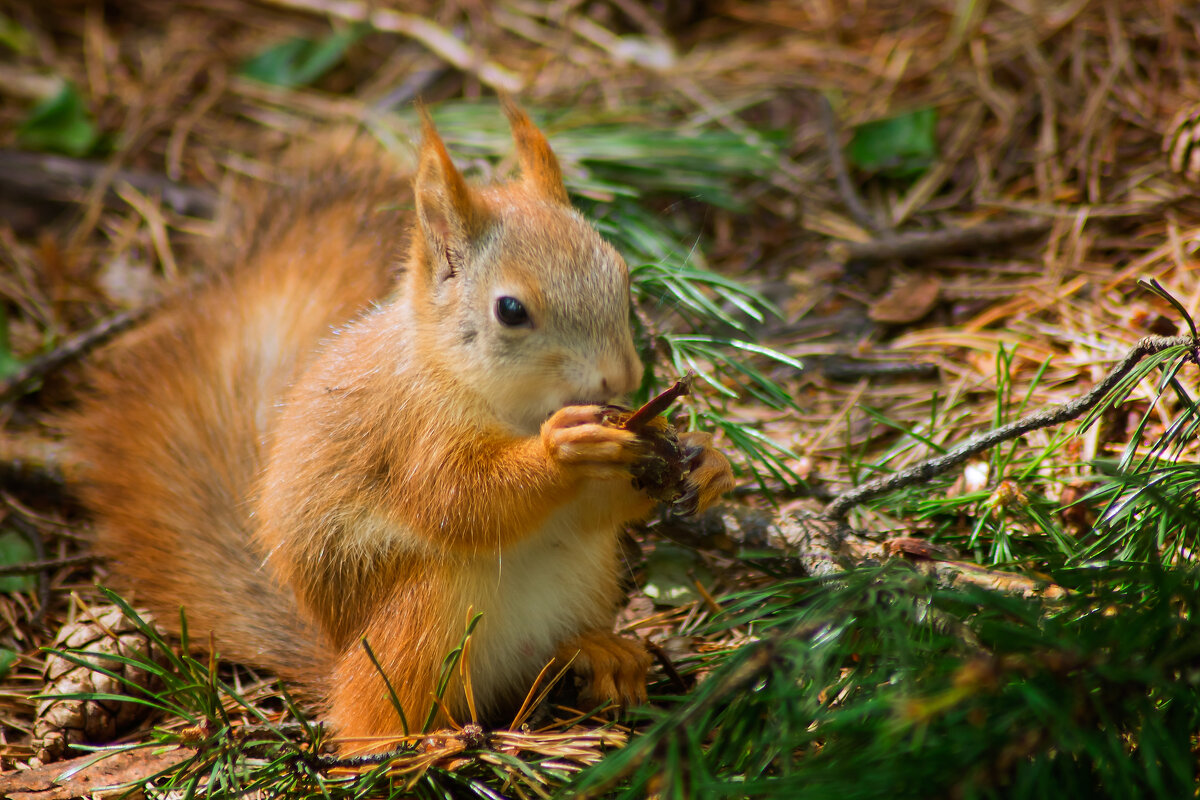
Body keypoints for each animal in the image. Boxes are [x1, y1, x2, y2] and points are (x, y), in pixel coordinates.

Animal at [72, 101, 739, 753]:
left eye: (621, 273)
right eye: (511, 310)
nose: (621, 376)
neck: (513, 405)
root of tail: (337, 663)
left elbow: (592, 509)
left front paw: (707, 460)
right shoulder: (411, 430)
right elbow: (458, 499)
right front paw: (564, 448)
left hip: (585, 578)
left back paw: (597, 651)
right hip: (419, 614)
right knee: (371, 718)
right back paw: (412, 745)